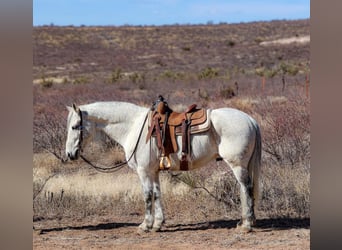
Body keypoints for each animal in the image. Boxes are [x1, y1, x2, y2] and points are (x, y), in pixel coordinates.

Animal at [65, 100, 262, 232]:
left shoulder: (144, 172)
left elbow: (147, 195)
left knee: (246, 187)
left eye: (75, 126)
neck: (133, 127)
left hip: (237, 165)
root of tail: (250, 120)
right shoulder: (154, 172)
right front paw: (158, 224)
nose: (69, 154)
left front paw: (145, 225)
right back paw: (244, 221)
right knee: (246, 189)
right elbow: (157, 194)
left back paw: (246, 225)